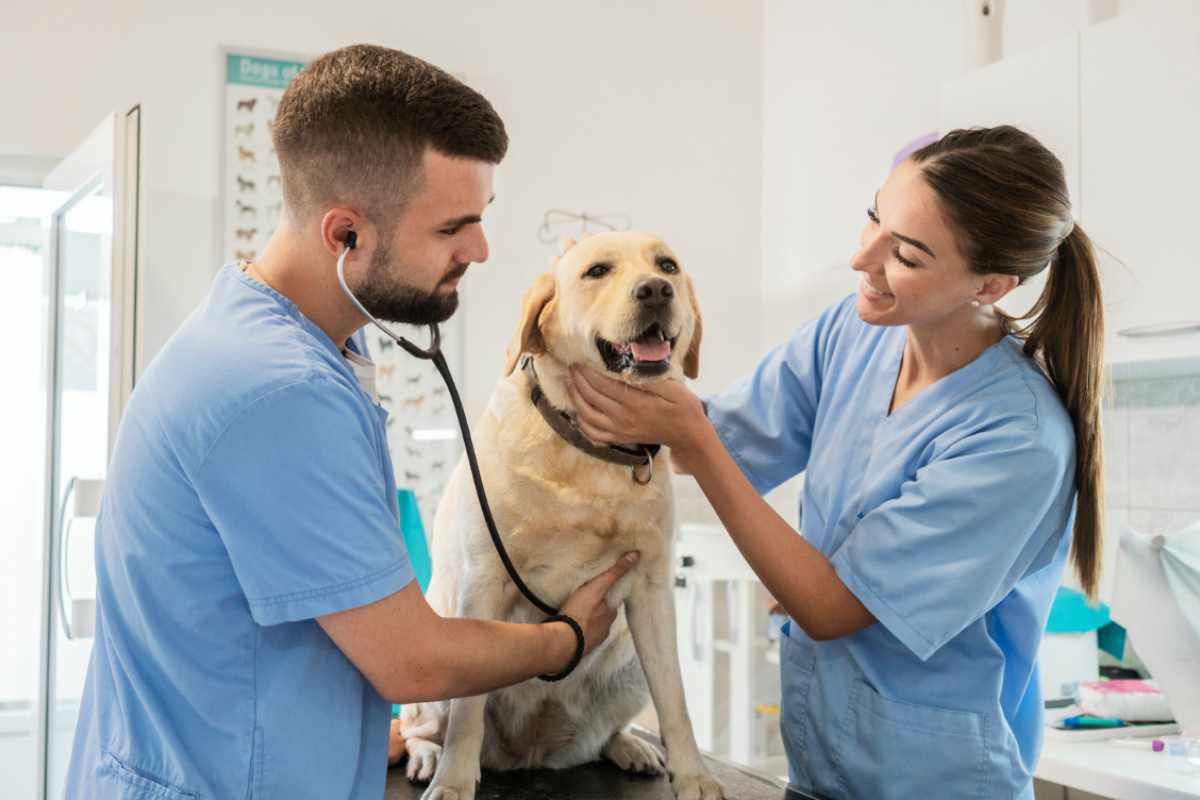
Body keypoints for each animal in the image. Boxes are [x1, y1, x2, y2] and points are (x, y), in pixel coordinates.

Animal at [403, 232, 724, 800]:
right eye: (597, 271)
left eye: (667, 265)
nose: (656, 290)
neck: (589, 452)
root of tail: (523, 754)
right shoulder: (483, 581)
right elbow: (466, 714)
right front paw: (454, 781)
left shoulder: (651, 590)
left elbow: (676, 702)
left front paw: (693, 776)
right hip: (432, 656)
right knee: (419, 723)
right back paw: (428, 756)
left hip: (627, 666)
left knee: (607, 730)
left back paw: (627, 746)